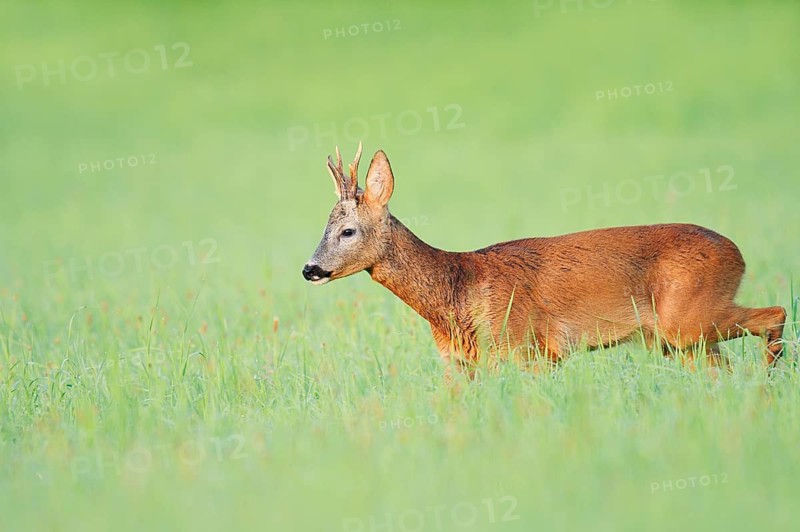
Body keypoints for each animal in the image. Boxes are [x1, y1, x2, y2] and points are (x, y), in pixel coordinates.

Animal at [302, 144, 787, 378]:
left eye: (348, 231)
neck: (457, 292)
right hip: (678, 339)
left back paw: (772, 381)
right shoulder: (460, 365)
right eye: (324, 226)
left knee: (776, 312)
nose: (310, 269)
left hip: (687, 318)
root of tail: (738, 253)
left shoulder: (527, 347)